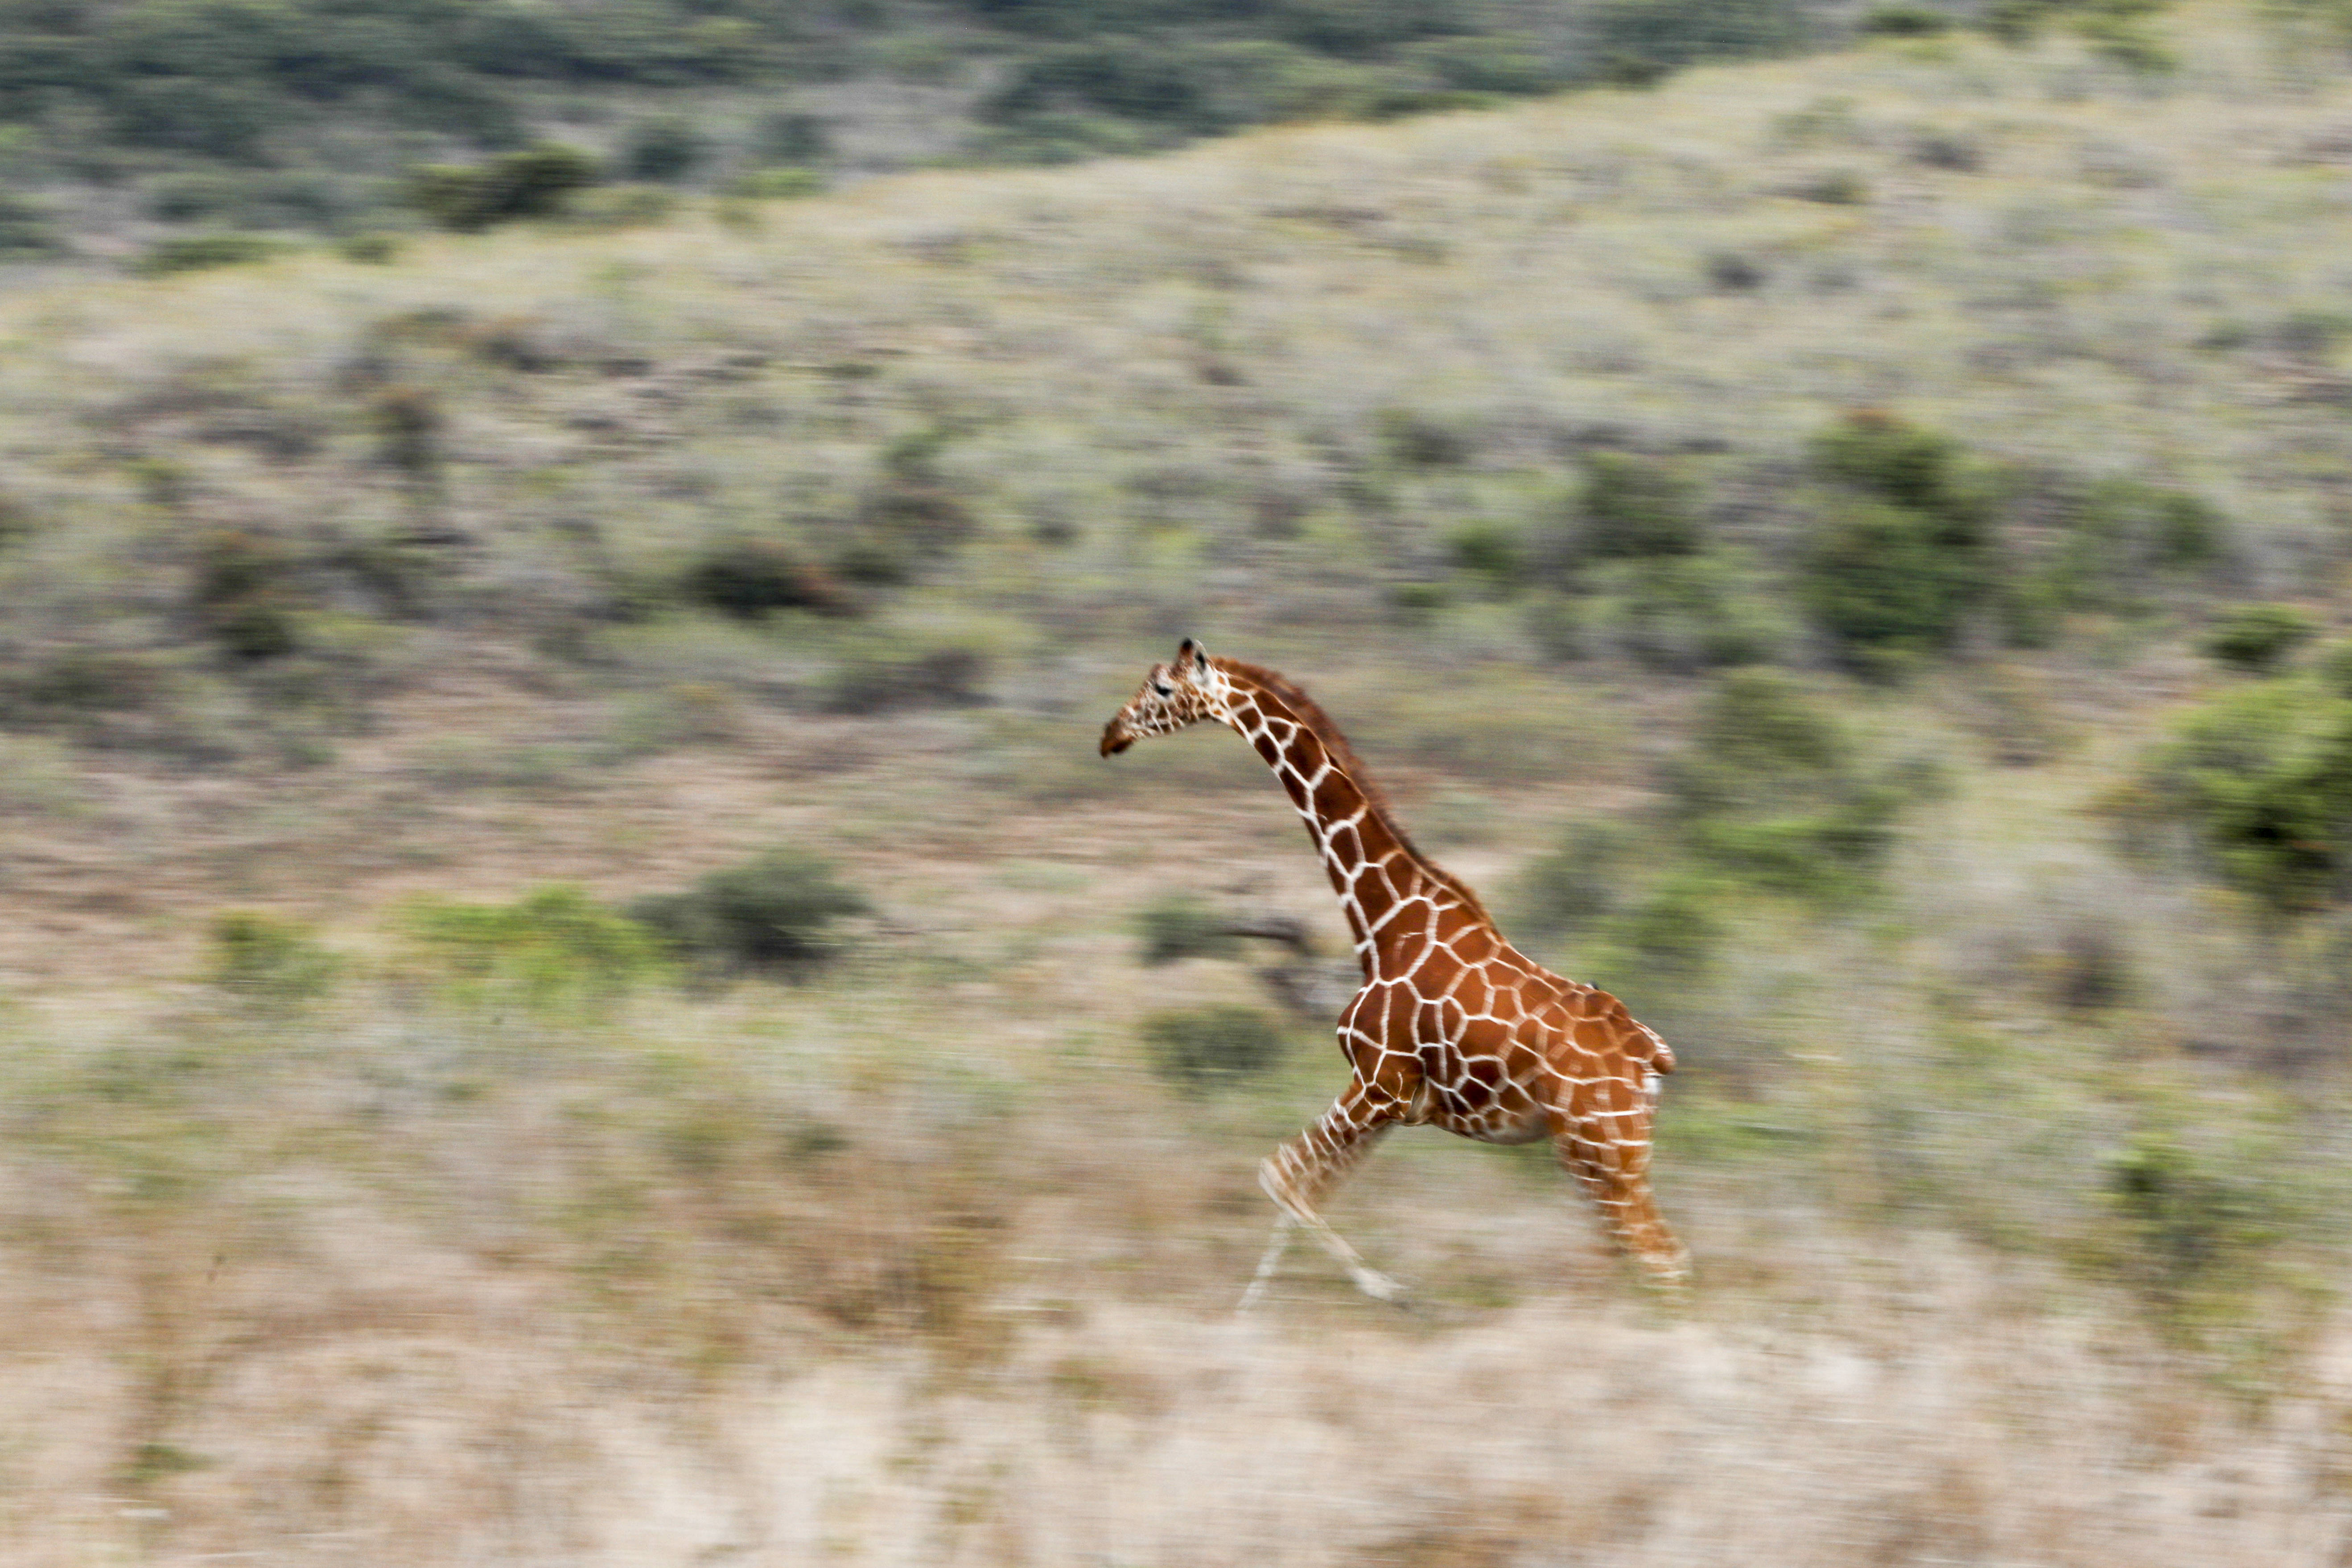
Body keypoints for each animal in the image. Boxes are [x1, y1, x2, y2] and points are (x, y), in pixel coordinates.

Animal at [1100, 639, 1693, 1316]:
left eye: (1163, 689)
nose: (1110, 734)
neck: (1384, 921)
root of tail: (1650, 1056)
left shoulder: (1376, 1082)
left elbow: (1281, 1178)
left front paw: (1366, 1296)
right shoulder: (1392, 1103)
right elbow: (1299, 1183)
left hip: (1604, 1147)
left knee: (1661, 1259)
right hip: (1597, 1153)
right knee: (1642, 1255)